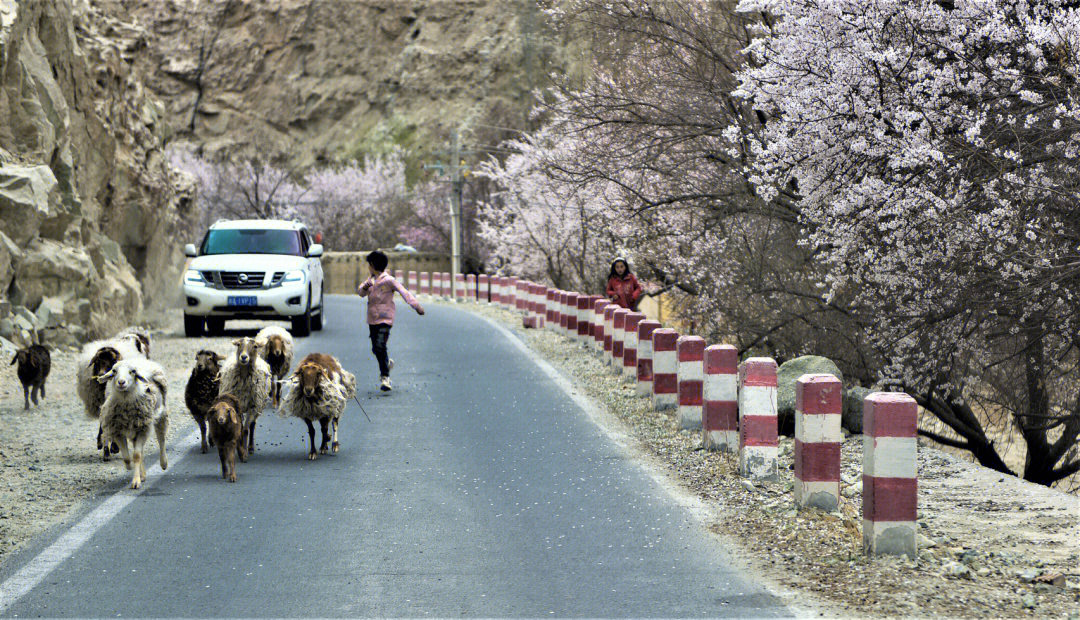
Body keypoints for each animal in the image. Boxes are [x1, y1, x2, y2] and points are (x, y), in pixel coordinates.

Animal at [97, 358, 167, 490]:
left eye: (133, 371)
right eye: (114, 371)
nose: (121, 382)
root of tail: (138, 359)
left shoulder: (143, 429)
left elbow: (137, 455)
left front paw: (135, 482)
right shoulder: (117, 431)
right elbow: (127, 457)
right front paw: (131, 468)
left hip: (161, 415)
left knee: (161, 439)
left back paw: (164, 463)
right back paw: (142, 474)